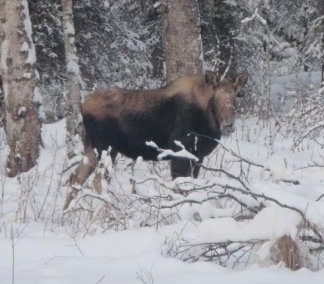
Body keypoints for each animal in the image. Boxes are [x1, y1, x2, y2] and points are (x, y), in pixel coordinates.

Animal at [65, 70, 248, 207]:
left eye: (235, 96)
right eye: (215, 97)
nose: (228, 124)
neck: (208, 122)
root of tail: (83, 106)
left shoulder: (198, 156)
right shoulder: (179, 153)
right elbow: (179, 187)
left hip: (95, 148)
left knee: (76, 177)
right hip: (103, 147)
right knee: (97, 181)